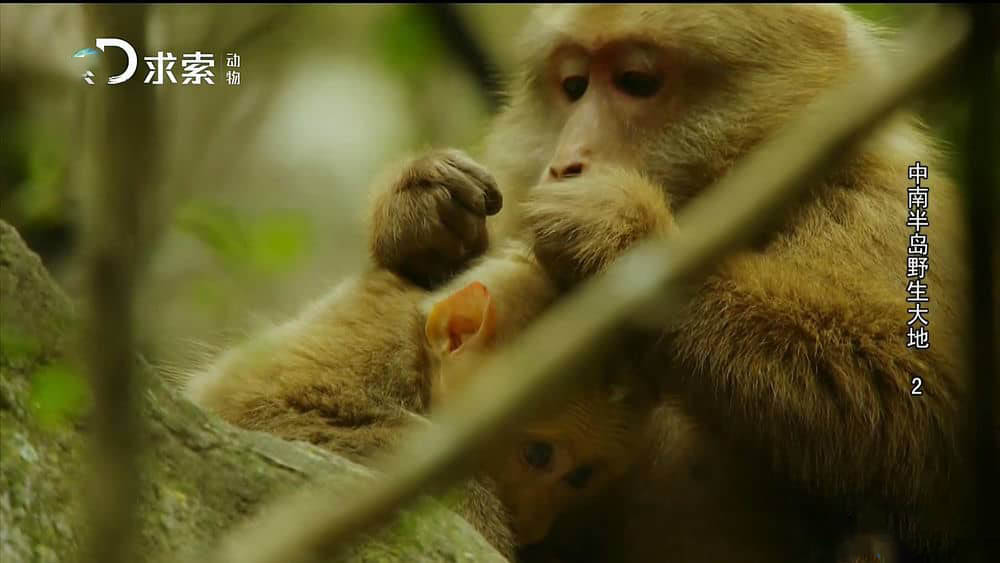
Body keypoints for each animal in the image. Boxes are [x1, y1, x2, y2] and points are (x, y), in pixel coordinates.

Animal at [372, 3, 972, 560]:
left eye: (636, 82)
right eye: (574, 86)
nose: (567, 161)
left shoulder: (886, 209)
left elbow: (934, 422)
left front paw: (617, 237)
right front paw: (420, 213)